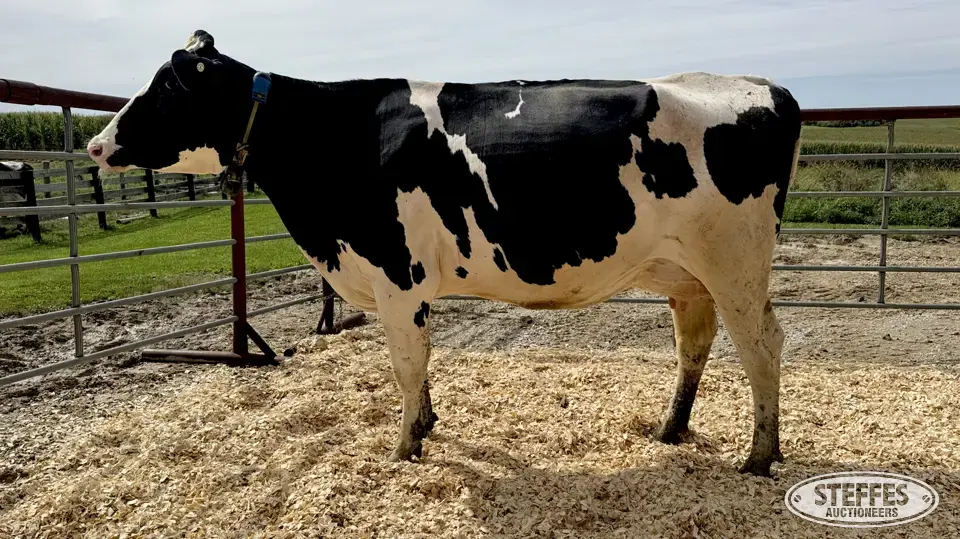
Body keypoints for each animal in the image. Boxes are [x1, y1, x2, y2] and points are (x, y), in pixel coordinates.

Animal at [87, 30, 802, 477]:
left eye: (164, 88)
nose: (95, 144)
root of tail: (761, 85)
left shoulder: (395, 275)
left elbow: (405, 364)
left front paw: (404, 447)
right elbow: (420, 361)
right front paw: (427, 426)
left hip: (736, 266)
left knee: (763, 345)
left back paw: (760, 457)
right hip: (688, 274)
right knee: (695, 344)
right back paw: (670, 430)